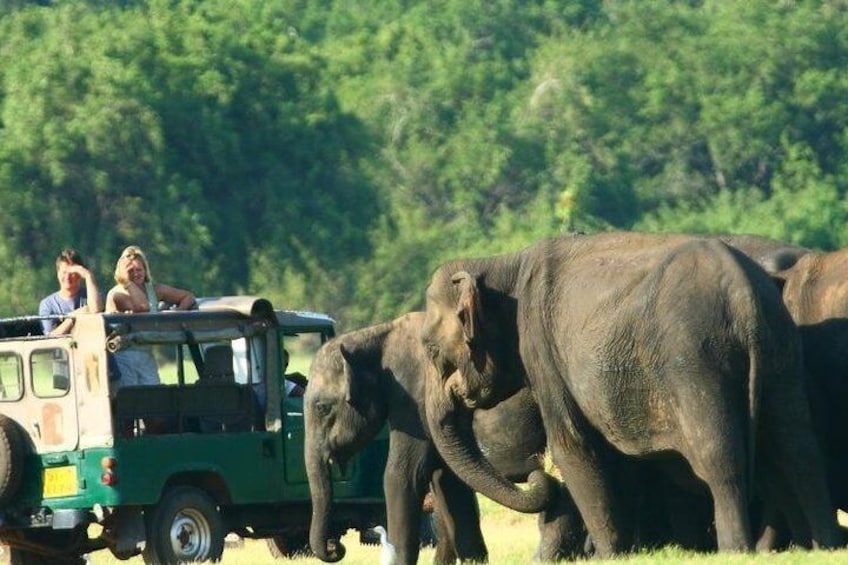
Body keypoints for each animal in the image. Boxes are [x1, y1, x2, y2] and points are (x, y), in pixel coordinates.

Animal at [420, 230, 840, 556]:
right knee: (799, 447)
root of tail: (745, 298)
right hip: (781, 353)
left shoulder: (542, 351)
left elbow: (574, 446)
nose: (539, 475)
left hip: (694, 361)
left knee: (720, 457)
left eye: (430, 349)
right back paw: (826, 545)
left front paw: (609, 555)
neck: (504, 264)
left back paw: (736, 550)